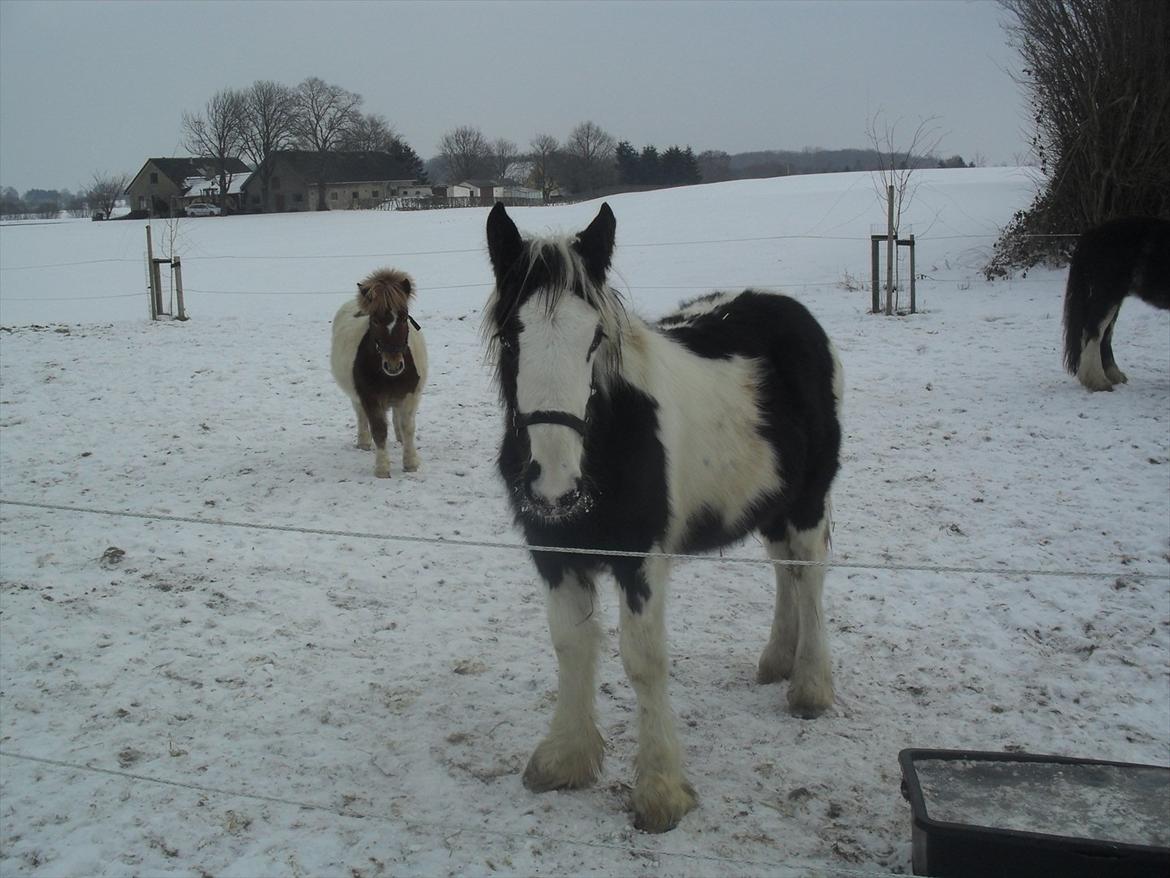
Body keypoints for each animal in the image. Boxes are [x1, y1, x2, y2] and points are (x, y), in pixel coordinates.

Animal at [329, 270, 430, 482]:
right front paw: (382, 469)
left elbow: (408, 427)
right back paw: (363, 442)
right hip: (356, 397)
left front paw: (410, 463)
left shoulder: (410, 395)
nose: (393, 365)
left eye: (404, 317)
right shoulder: (370, 398)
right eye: (375, 320)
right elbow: (379, 430)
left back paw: (399, 438)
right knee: (360, 414)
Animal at [482, 202, 842, 833]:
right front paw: (565, 758)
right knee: (785, 572)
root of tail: (791, 310)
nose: (554, 486)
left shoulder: (640, 561)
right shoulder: (554, 554)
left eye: (595, 338)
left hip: (807, 501)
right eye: (509, 338)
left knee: (810, 574)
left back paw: (809, 687)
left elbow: (643, 662)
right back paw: (777, 660)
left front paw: (659, 791)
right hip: (768, 503)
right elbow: (570, 645)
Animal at [1062, 216, 1170, 391]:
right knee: (1094, 333)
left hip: (1114, 299)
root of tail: (1092, 235)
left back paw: (1113, 375)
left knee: (1105, 335)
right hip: (1108, 295)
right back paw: (1098, 381)